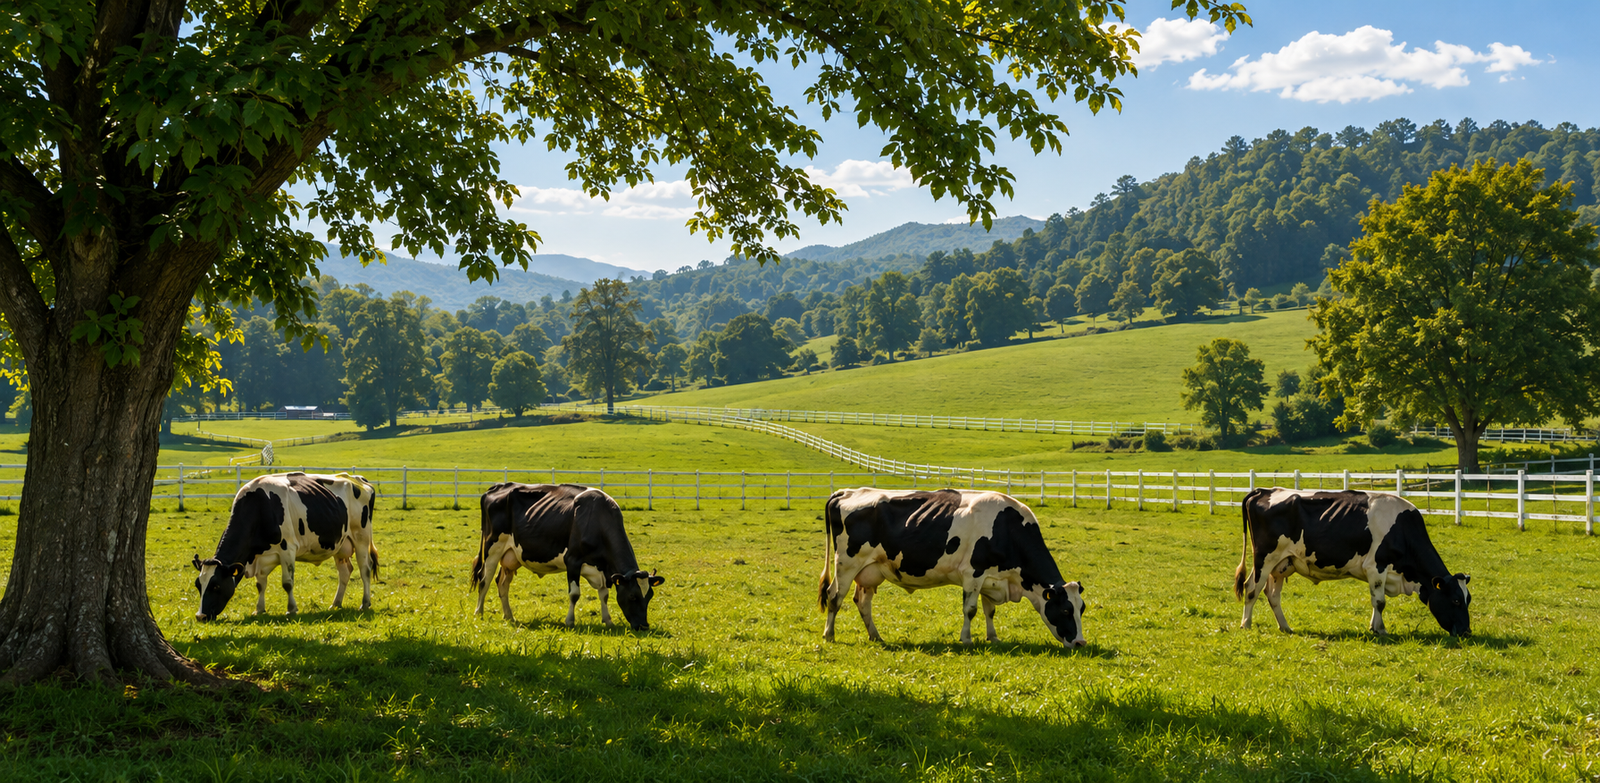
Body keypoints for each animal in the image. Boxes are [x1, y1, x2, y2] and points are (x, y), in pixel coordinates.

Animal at [193, 472, 379, 621]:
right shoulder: (261, 557)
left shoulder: (287, 549)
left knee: (365, 569)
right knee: (345, 572)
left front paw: (291, 610)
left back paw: (365, 603)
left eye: (216, 585)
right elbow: (260, 584)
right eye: (198, 585)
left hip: (361, 537)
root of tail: (357, 478)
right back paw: (336, 604)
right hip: (340, 544)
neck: (260, 506)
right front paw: (259, 609)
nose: (200, 616)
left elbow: (287, 583)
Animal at [470, 483, 665, 630]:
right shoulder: (572, 561)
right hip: (492, 547)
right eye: (632, 596)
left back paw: (509, 616)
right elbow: (574, 594)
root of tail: (498, 486)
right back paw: (479, 613)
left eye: (649, 596)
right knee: (484, 579)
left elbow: (604, 595)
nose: (644, 626)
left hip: (511, 556)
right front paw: (569, 621)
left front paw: (608, 621)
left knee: (502, 583)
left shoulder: (602, 569)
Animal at [818, 487, 1086, 647]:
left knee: (862, 602)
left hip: (870, 571)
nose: (1080, 643)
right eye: (1065, 610)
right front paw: (966, 639)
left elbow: (989, 611)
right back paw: (829, 634)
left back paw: (876, 636)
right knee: (834, 597)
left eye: (1081, 609)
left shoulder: (991, 578)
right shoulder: (973, 573)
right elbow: (971, 610)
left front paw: (993, 638)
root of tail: (847, 491)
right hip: (846, 563)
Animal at [1235, 487, 1472, 636]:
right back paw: (1245, 624)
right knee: (1251, 589)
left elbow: (1376, 600)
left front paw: (1374, 627)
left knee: (1272, 595)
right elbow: (1380, 602)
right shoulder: (1376, 567)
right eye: (1455, 601)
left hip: (1282, 564)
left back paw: (1285, 627)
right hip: (1265, 558)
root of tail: (1264, 490)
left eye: (1468, 600)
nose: (1467, 632)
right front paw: (1381, 630)